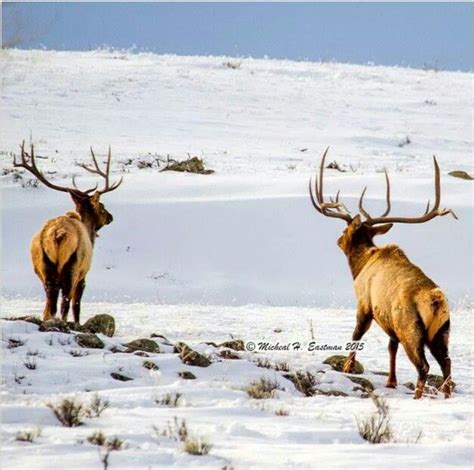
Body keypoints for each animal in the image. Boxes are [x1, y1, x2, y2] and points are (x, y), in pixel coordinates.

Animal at [14, 140, 123, 324]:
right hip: (72, 266)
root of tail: (58, 234)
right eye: (102, 206)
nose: (111, 217)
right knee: (64, 303)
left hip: (45, 266)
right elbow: (76, 306)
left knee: (50, 305)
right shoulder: (83, 275)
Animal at [310, 149, 458, 398]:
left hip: (410, 327)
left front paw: (348, 367)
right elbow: (391, 348)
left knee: (423, 366)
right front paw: (391, 381)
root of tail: (436, 300)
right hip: (441, 331)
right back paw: (446, 395)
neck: (360, 265)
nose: (338, 240)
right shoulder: (388, 321)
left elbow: (356, 335)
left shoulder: (365, 303)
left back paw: (418, 397)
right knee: (446, 362)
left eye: (345, 229)